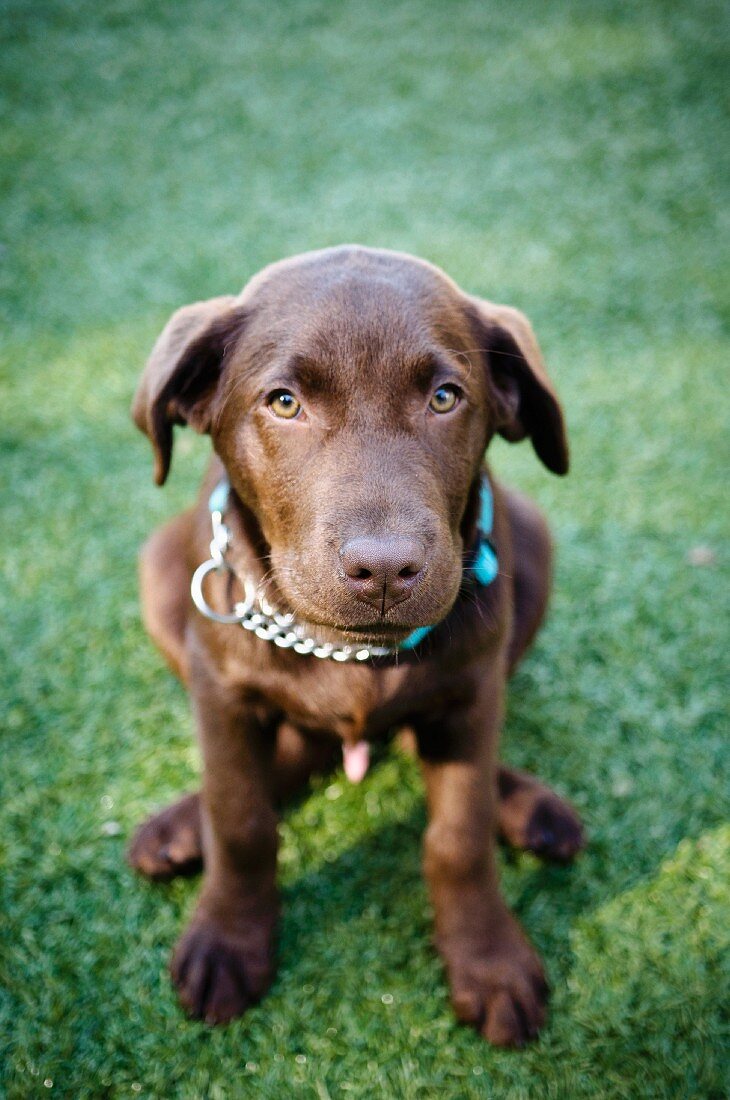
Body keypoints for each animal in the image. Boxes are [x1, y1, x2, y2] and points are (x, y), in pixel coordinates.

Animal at [126, 245, 580, 1042]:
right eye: (283, 403)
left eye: (445, 398)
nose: (386, 570)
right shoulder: (220, 689)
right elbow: (239, 817)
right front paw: (227, 940)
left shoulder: (472, 693)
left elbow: (458, 836)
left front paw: (489, 962)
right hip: (159, 574)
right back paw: (181, 825)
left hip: (533, 544)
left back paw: (528, 807)